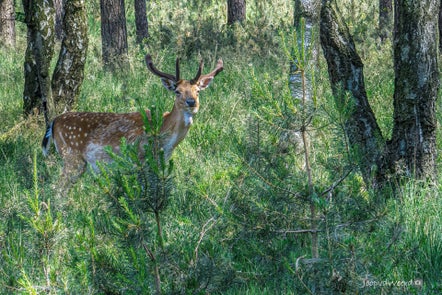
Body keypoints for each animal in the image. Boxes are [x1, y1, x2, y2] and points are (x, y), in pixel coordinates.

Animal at [42, 55, 224, 187]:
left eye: (197, 91)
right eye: (177, 91)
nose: (192, 102)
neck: (166, 142)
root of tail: (54, 122)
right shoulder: (141, 156)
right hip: (72, 157)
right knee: (57, 189)